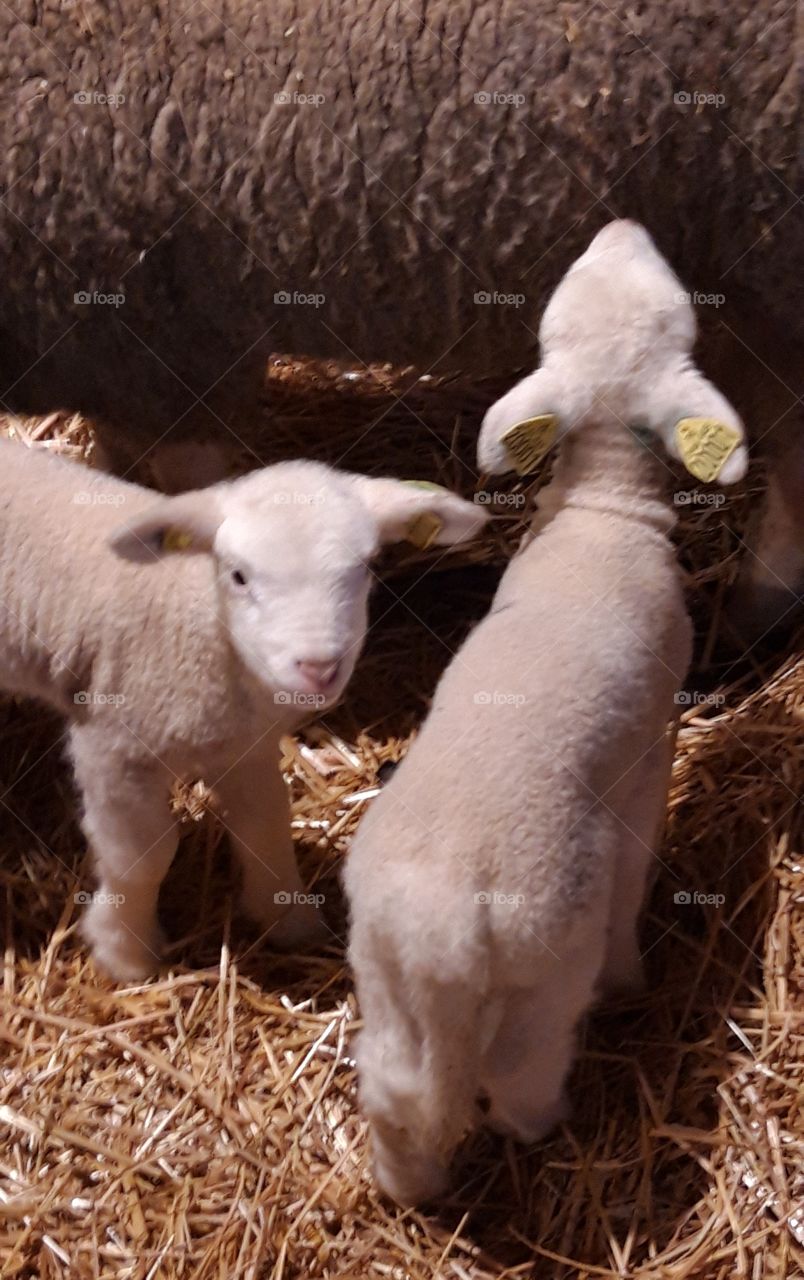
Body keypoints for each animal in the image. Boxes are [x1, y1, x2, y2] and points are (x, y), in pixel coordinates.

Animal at [0, 442, 485, 980]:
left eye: (365, 568)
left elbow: (266, 825)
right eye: (239, 576)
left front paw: (290, 922)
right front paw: (125, 953)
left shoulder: (244, 746)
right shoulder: (112, 749)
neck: (198, 617)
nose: (319, 668)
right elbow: (143, 858)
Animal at [343, 219, 748, 1206]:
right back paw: (549, 1120)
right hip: (542, 963)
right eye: (678, 310)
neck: (601, 511)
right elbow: (639, 861)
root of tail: (445, 930)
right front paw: (634, 976)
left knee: (395, 1083)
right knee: (518, 1073)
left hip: (384, 964)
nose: (622, 226)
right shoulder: (651, 750)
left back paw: (407, 1186)